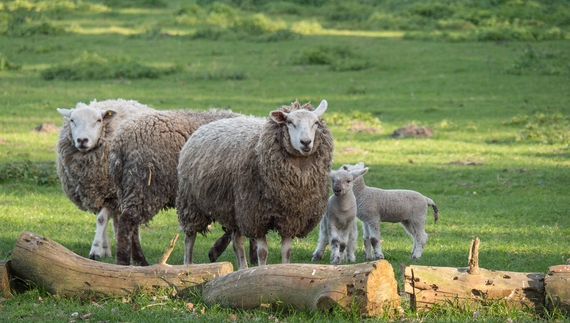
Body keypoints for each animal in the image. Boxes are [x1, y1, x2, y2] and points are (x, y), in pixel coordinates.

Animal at [56, 98, 153, 260]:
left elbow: (101, 219)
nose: (82, 140)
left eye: (98, 120)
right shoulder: (95, 193)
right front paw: (103, 249)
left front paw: (95, 250)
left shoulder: (110, 194)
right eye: (72, 120)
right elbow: (102, 220)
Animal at [108, 108, 240, 266]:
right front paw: (217, 251)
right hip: (146, 185)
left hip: (127, 188)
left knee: (132, 224)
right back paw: (124, 262)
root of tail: (119, 143)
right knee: (127, 221)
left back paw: (140, 262)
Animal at [178, 99, 332, 270]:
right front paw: (262, 270)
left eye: (316, 123)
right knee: (189, 238)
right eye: (290, 123)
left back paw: (242, 269)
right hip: (191, 203)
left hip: (235, 209)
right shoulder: (256, 216)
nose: (306, 142)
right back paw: (187, 265)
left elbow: (287, 251)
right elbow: (262, 252)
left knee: (237, 242)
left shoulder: (289, 218)